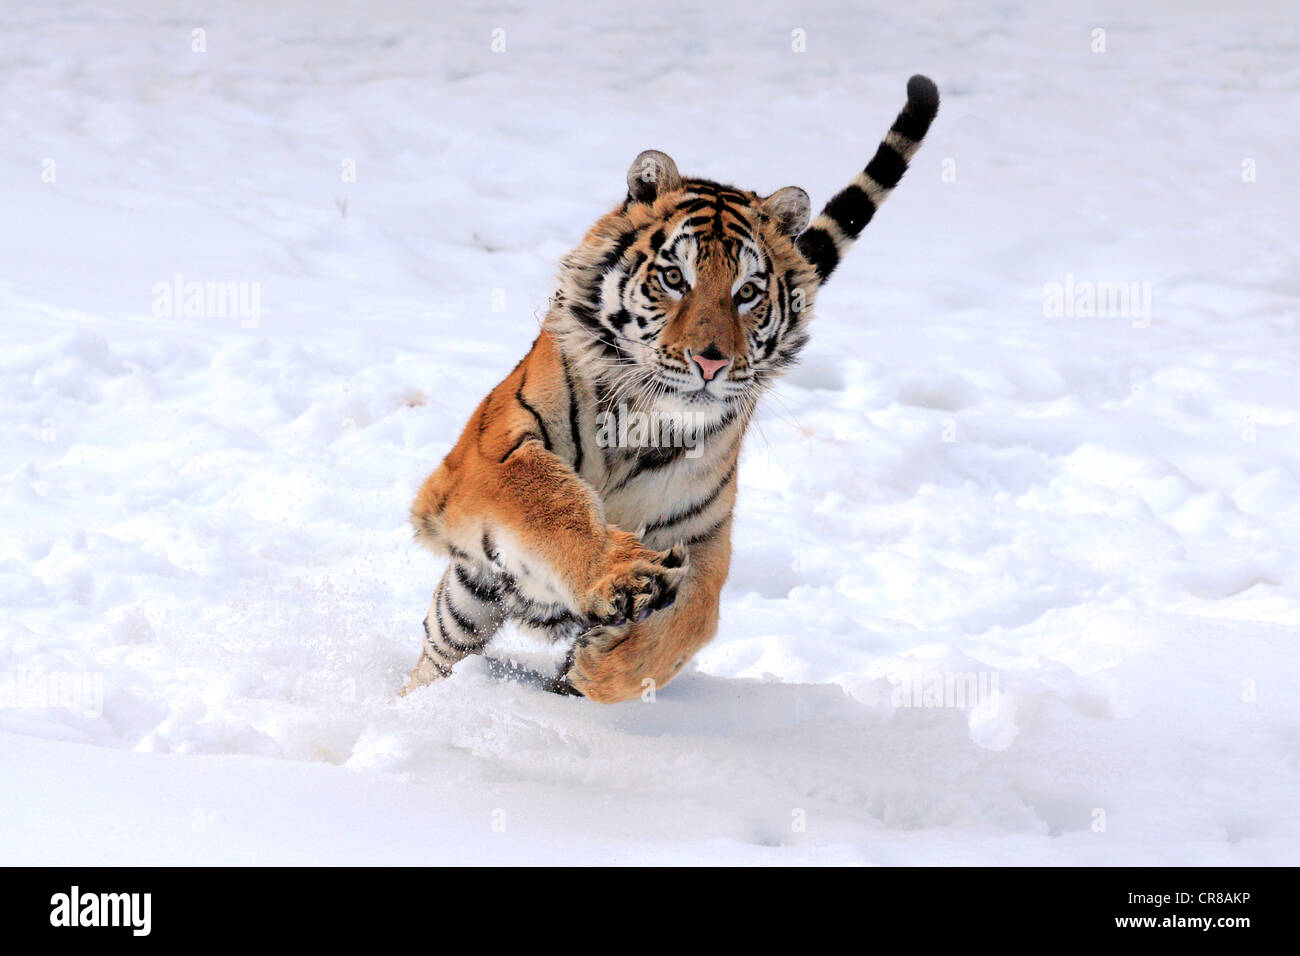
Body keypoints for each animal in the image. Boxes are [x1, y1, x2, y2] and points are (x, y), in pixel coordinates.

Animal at [405, 75, 939, 703]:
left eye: (747, 292)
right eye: (674, 278)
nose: (711, 361)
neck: (644, 423)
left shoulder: (704, 536)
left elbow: (694, 616)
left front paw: (603, 668)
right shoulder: (492, 452)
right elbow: (550, 502)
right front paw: (619, 574)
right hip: (469, 595)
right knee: (440, 651)